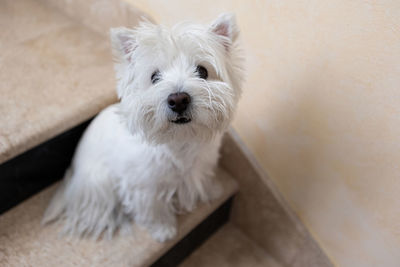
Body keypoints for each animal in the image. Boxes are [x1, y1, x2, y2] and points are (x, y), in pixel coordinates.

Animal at [43, 13, 244, 243]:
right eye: (154, 77)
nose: (178, 99)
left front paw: (212, 191)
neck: (179, 141)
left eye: (202, 71)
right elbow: (153, 209)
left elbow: (204, 178)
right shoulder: (143, 186)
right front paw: (163, 230)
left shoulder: (202, 165)